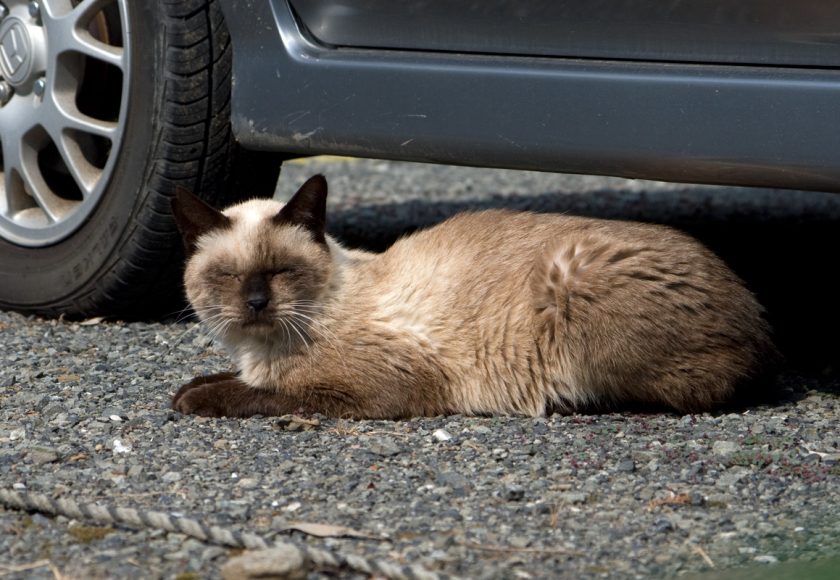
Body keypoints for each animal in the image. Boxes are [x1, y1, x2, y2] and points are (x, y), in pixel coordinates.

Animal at [172, 174, 780, 420]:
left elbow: (264, 393)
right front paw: (194, 386)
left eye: (280, 271)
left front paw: (195, 400)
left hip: (573, 286)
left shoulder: (371, 389)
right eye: (228, 276)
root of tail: (756, 312)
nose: (256, 303)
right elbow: (226, 379)